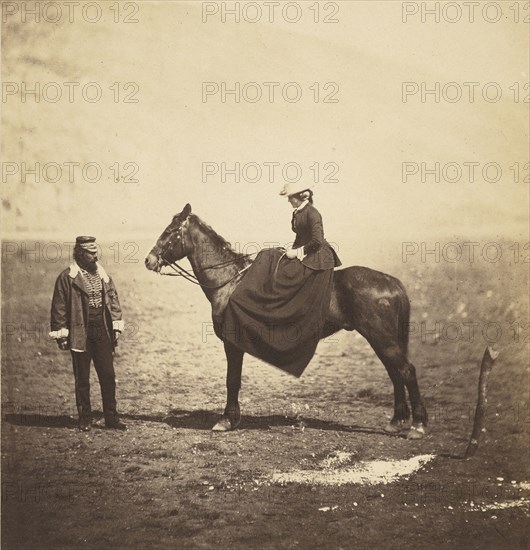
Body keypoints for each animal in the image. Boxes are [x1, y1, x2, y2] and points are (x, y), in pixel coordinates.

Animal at [144, 205, 424, 442]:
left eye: (169, 232)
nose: (149, 260)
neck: (230, 280)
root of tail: (392, 282)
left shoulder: (232, 343)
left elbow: (232, 380)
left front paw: (226, 420)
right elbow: (235, 379)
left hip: (381, 338)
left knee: (406, 371)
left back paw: (418, 426)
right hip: (381, 339)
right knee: (395, 373)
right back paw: (396, 422)